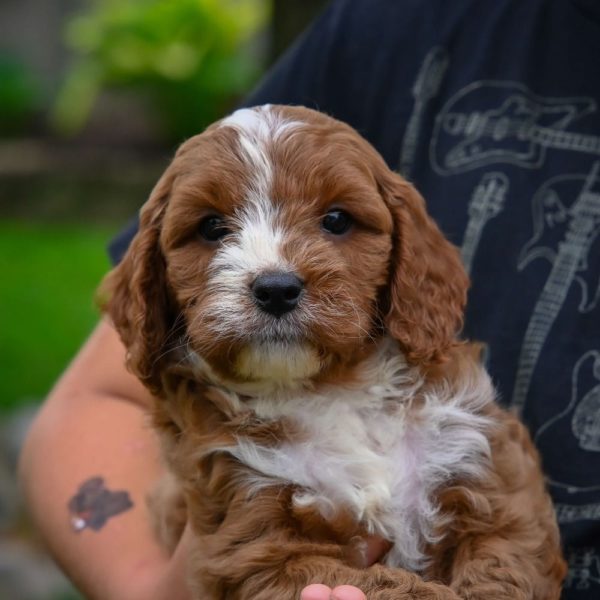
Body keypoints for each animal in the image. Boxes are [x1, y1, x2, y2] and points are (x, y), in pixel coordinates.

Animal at [101, 105, 564, 596]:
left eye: (337, 220)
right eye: (211, 227)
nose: (277, 289)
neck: (330, 388)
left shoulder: (489, 478)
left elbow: (503, 565)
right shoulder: (257, 542)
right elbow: (386, 586)